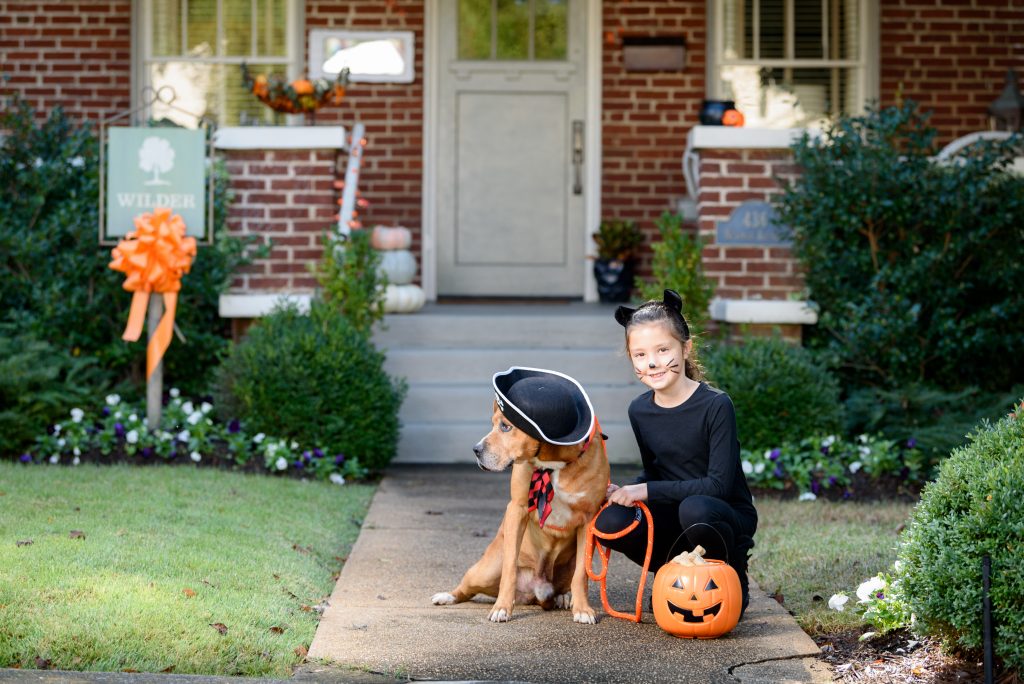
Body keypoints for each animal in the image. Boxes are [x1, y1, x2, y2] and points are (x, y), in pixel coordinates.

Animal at [430, 395, 606, 626]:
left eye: (506, 426)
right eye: (493, 424)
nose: (475, 450)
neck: (553, 463)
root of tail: (534, 592)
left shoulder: (588, 520)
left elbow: (582, 574)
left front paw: (583, 609)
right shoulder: (517, 509)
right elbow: (510, 568)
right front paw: (502, 608)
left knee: (567, 582)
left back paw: (563, 597)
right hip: (484, 571)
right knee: (466, 589)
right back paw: (447, 596)